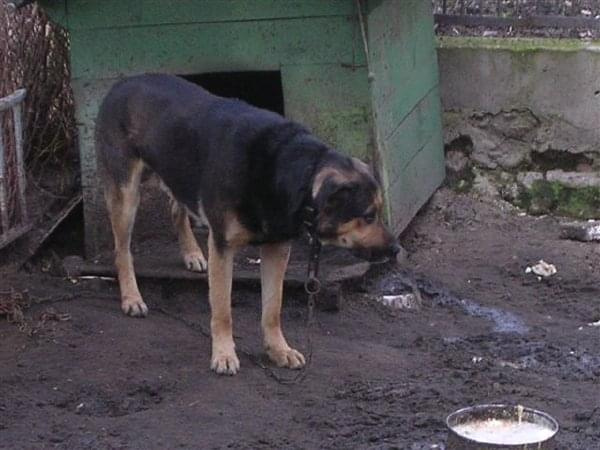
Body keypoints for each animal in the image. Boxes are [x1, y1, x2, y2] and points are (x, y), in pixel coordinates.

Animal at [96, 74, 400, 376]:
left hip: (177, 173)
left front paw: (278, 350)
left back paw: (192, 254)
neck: (285, 172)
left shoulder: (277, 248)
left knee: (176, 210)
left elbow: (273, 307)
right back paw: (131, 298)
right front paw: (223, 354)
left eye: (378, 212)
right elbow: (222, 309)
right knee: (122, 250)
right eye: (369, 215)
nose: (397, 250)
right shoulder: (222, 246)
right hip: (126, 195)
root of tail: (122, 82)